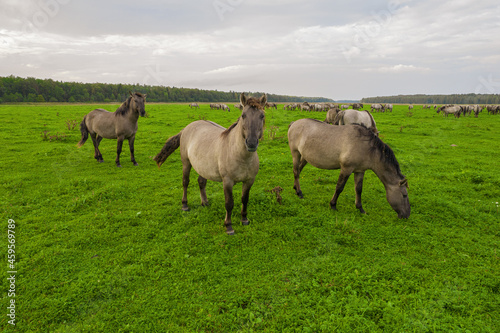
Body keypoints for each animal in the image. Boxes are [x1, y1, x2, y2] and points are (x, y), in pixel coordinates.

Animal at [154, 92, 268, 233]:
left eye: (262, 116)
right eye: (243, 115)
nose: (251, 143)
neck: (241, 156)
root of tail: (186, 128)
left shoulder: (249, 181)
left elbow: (245, 199)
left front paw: (244, 219)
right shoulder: (227, 181)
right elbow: (229, 203)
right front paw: (228, 226)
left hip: (203, 167)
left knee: (201, 182)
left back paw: (205, 203)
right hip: (186, 163)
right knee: (185, 182)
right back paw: (185, 205)